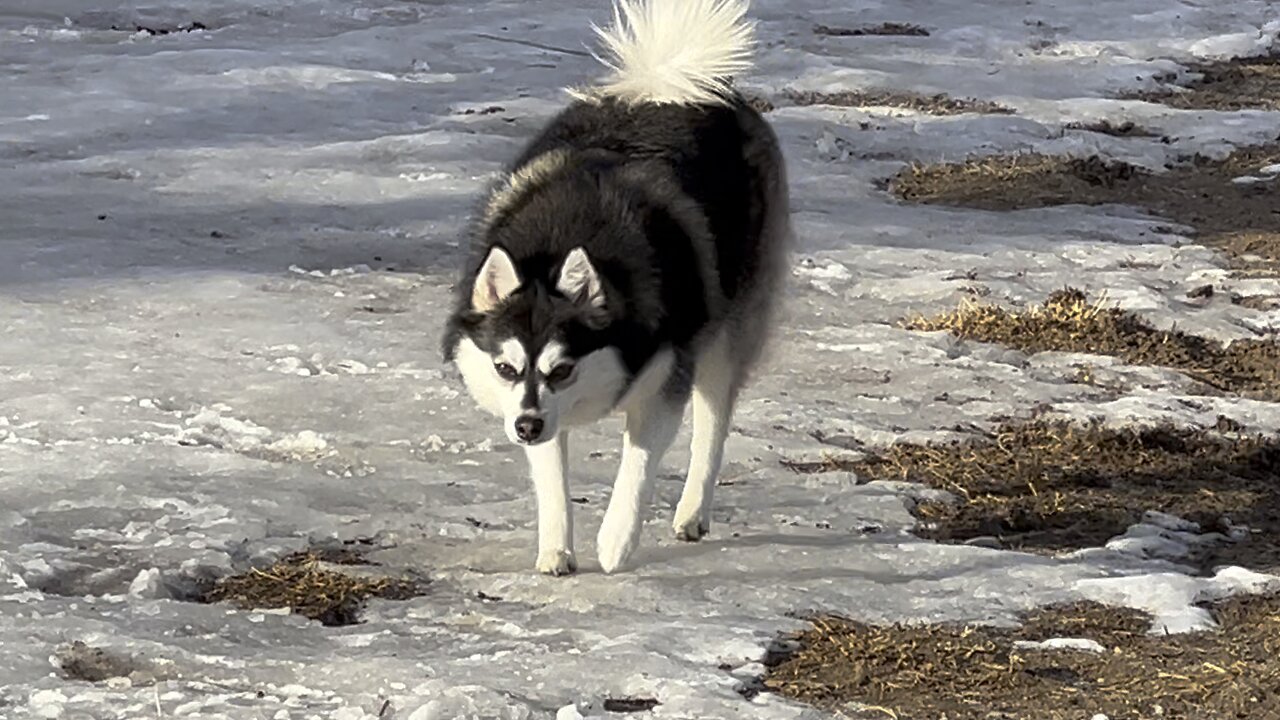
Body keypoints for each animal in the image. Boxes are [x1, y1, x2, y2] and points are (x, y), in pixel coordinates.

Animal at [445, 0, 793, 571]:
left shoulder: (664, 382)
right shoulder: (543, 412)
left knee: (712, 424)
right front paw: (556, 549)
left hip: (727, 330)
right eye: (504, 368)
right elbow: (552, 476)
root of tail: (665, 85)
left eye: (563, 368)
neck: (566, 233)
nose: (524, 428)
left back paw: (692, 512)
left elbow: (638, 466)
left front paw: (614, 542)